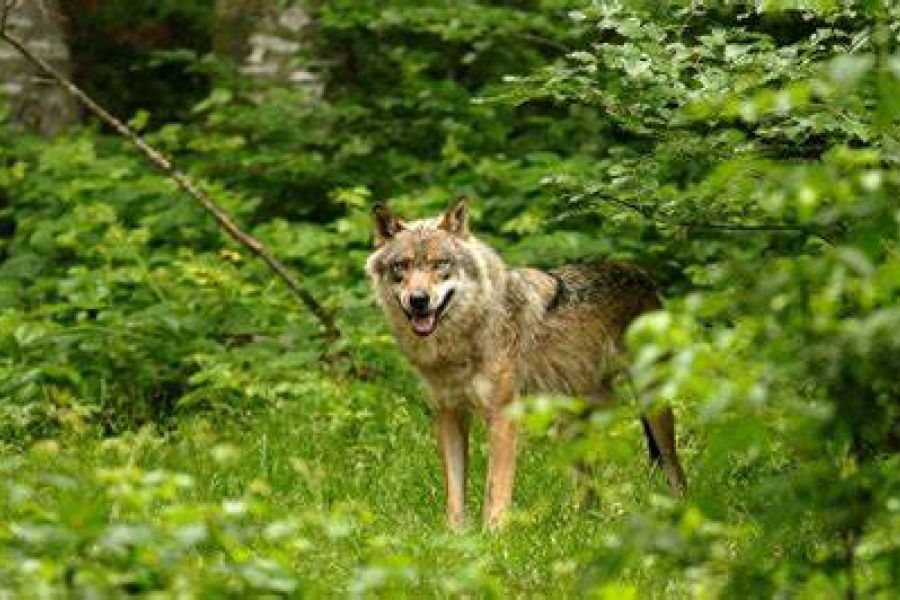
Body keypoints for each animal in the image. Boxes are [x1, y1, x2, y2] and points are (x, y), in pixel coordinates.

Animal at [366, 199, 686, 529]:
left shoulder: (503, 416)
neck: (461, 341)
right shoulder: (448, 414)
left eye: (440, 263)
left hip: (652, 404)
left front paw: (493, 535)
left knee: (676, 471)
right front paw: (455, 536)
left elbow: (496, 491)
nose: (418, 300)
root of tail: (641, 274)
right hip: (570, 426)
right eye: (401, 266)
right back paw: (580, 526)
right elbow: (454, 496)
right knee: (590, 491)